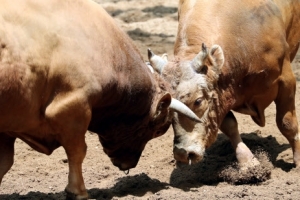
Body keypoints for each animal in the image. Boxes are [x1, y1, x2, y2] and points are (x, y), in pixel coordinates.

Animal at [0, 0, 202, 199]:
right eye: (159, 129)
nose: (129, 165)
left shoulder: (8, 129)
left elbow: (6, 161)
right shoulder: (72, 109)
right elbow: (77, 152)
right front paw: (78, 191)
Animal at [149, 0, 300, 170]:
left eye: (198, 101)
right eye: (167, 108)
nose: (182, 153)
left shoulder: (286, 81)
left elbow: (287, 124)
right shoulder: (220, 96)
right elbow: (230, 126)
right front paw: (247, 161)